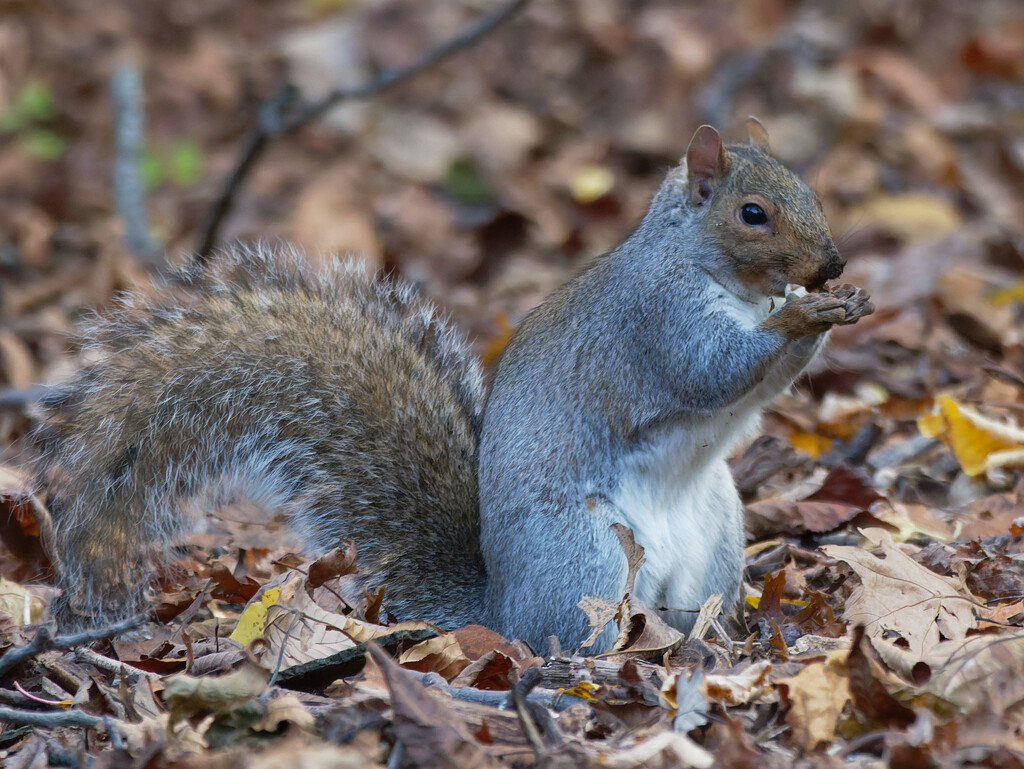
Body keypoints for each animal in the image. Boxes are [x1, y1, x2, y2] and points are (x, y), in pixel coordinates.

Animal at [29, 120, 872, 651]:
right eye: (753, 212)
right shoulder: (656, 318)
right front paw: (808, 314)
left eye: (808, 192)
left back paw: (717, 637)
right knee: (572, 640)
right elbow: (712, 370)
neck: (710, 269)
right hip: (588, 551)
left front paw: (838, 304)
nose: (832, 263)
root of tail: (499, 611)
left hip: (718, 535)